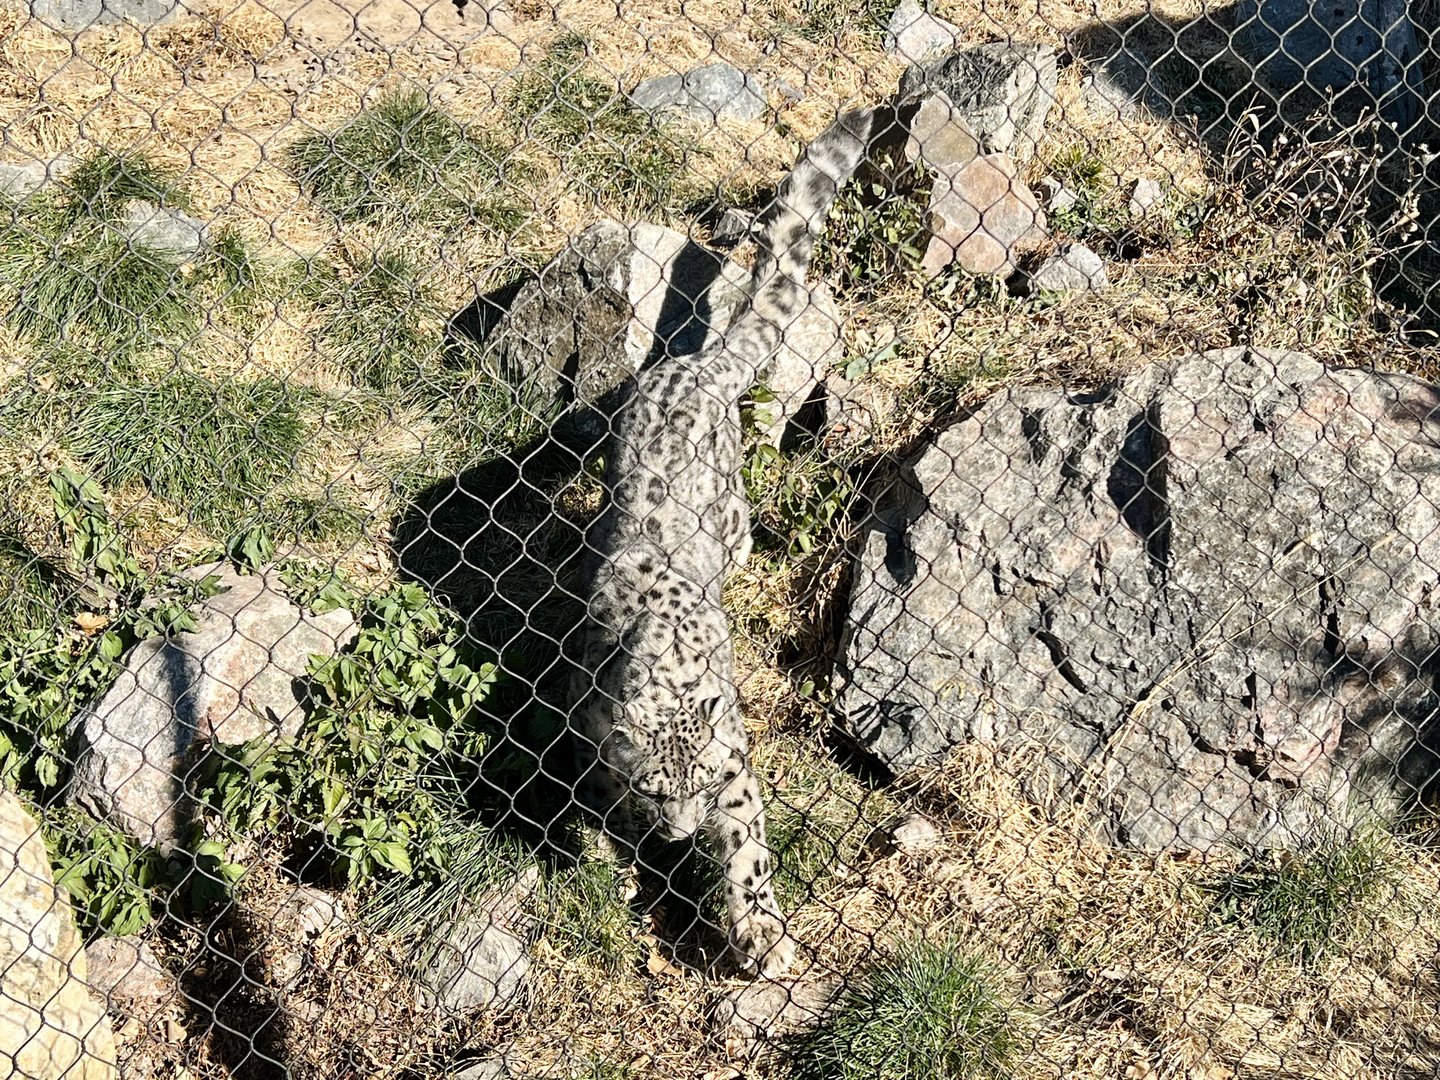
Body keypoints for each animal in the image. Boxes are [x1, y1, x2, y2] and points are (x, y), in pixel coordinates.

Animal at [567, 101, 913, 978]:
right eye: (656, 786)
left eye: (709, 782)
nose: (684, 830)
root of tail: (697, 365)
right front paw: (626, 849)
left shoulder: (737, 765)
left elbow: (751, 844)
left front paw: (759, 932)